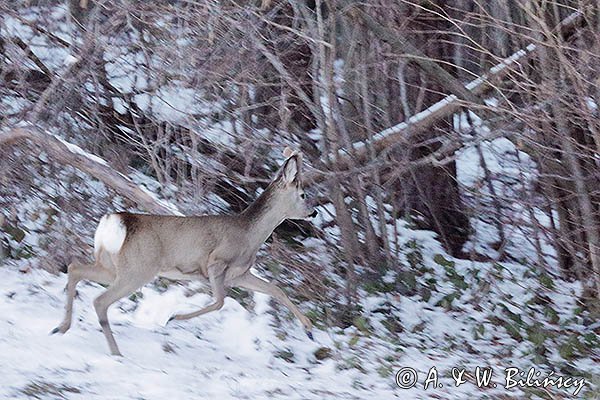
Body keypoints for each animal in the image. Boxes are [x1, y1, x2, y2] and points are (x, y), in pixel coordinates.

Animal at [52, 149, 318, 356]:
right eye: (303, 194)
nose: (313, 212)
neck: (249, 234)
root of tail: (114, 221)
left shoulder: (239, 274)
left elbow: (275, 289)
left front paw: (309, 330)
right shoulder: (216, 262)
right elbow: (220, 301)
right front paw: (173, 318)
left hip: (111, 265)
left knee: (75, 268)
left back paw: (61, 327)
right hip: (138, 269)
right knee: (99, 300)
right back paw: (115, 351)